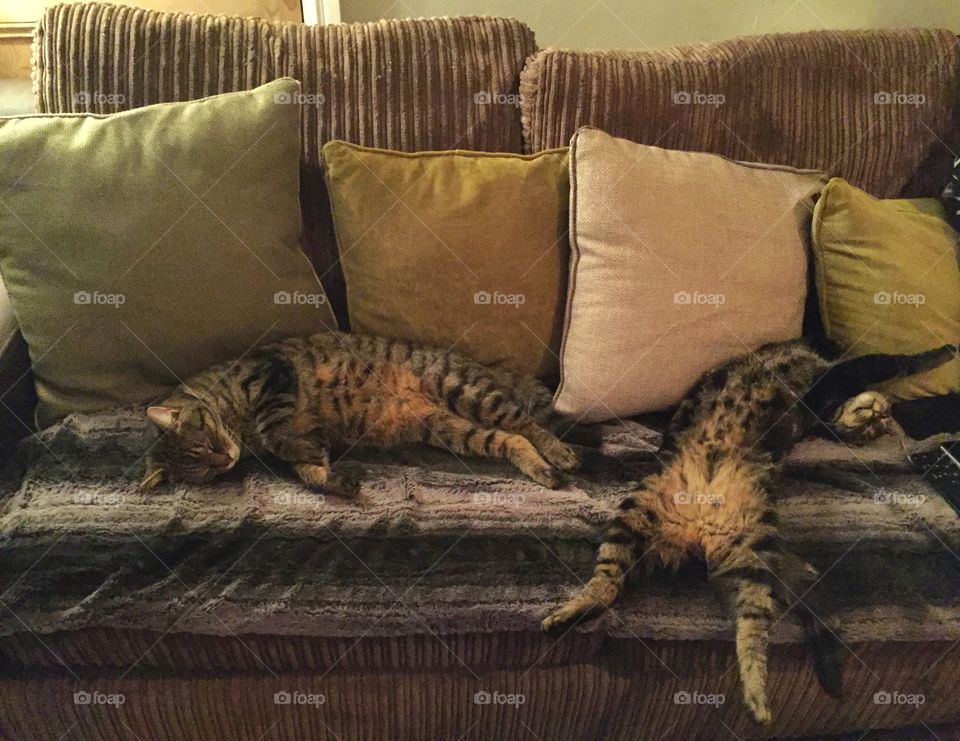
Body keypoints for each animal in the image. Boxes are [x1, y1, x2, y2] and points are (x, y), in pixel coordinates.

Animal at [544, 340, 956, 724]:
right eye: (872, 424)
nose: (879, 413)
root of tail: (699, 527)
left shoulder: (838, 374)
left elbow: (895, 360)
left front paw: (942, 353)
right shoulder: (833, 375)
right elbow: (890, 361)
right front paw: (945, 353)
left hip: (744, 540)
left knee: (752, 621)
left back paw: (761, 697)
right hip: (647, 516)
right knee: (610, 583)